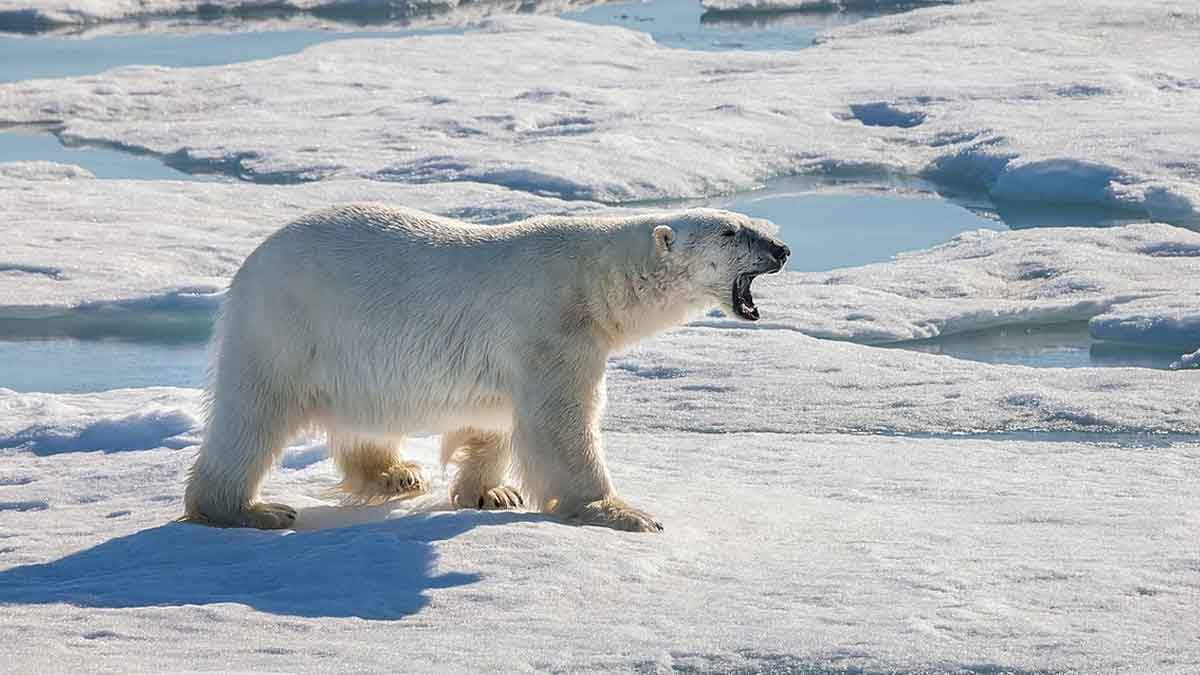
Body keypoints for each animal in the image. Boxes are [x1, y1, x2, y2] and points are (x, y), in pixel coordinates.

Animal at [182, 201, 787, 528]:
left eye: (750, 223)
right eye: (731, 232)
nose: (781, 249)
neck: (594, 281)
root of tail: (250, 264)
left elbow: (496, 416)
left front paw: (490, 492)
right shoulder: (552, 327)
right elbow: (561, 424)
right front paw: (622, 512)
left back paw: (395, 473)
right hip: (287, 328)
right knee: (252, 417)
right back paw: (250, 510)